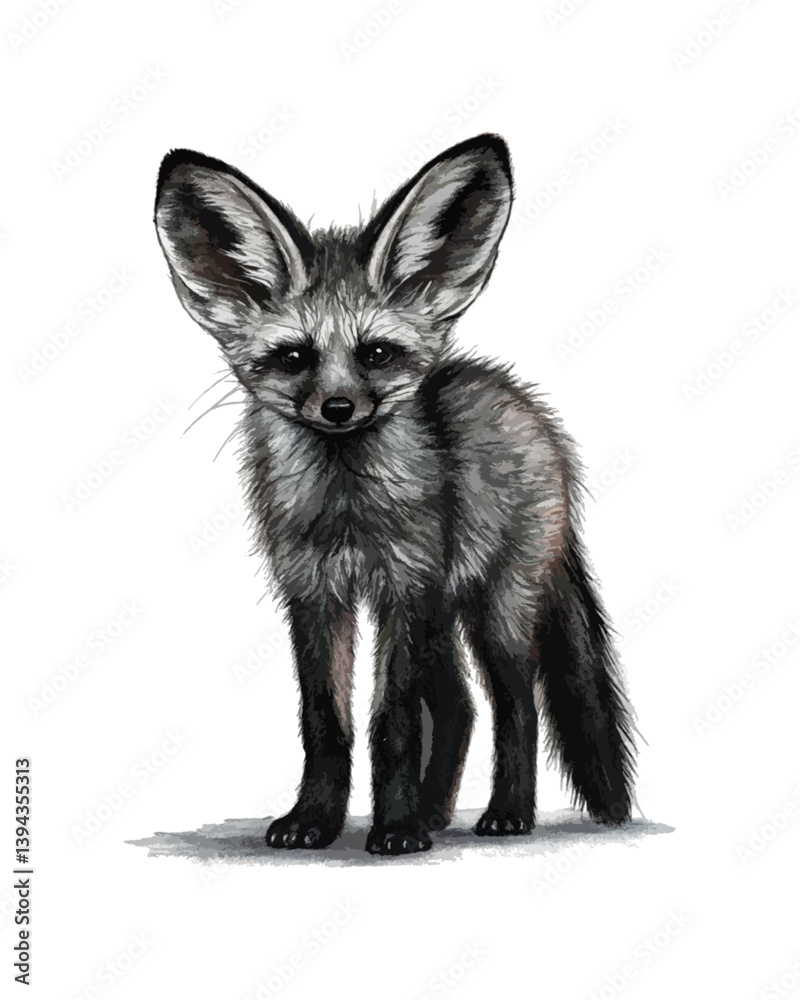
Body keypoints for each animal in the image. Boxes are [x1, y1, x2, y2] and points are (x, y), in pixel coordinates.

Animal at [154, 133, 636, 857]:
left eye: (376, 353)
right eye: (295, 357)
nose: (338, 408)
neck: (347, 513)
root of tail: (527, 409)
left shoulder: (404, 586)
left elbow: (393, 721)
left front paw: (396, 830)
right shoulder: (313, 590)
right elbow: (325, 720)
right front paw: (314, 821)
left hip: (494, 606)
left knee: (514, 706)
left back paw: (504, 814)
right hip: (446, 609)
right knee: (461, 708)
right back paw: (436, 814)